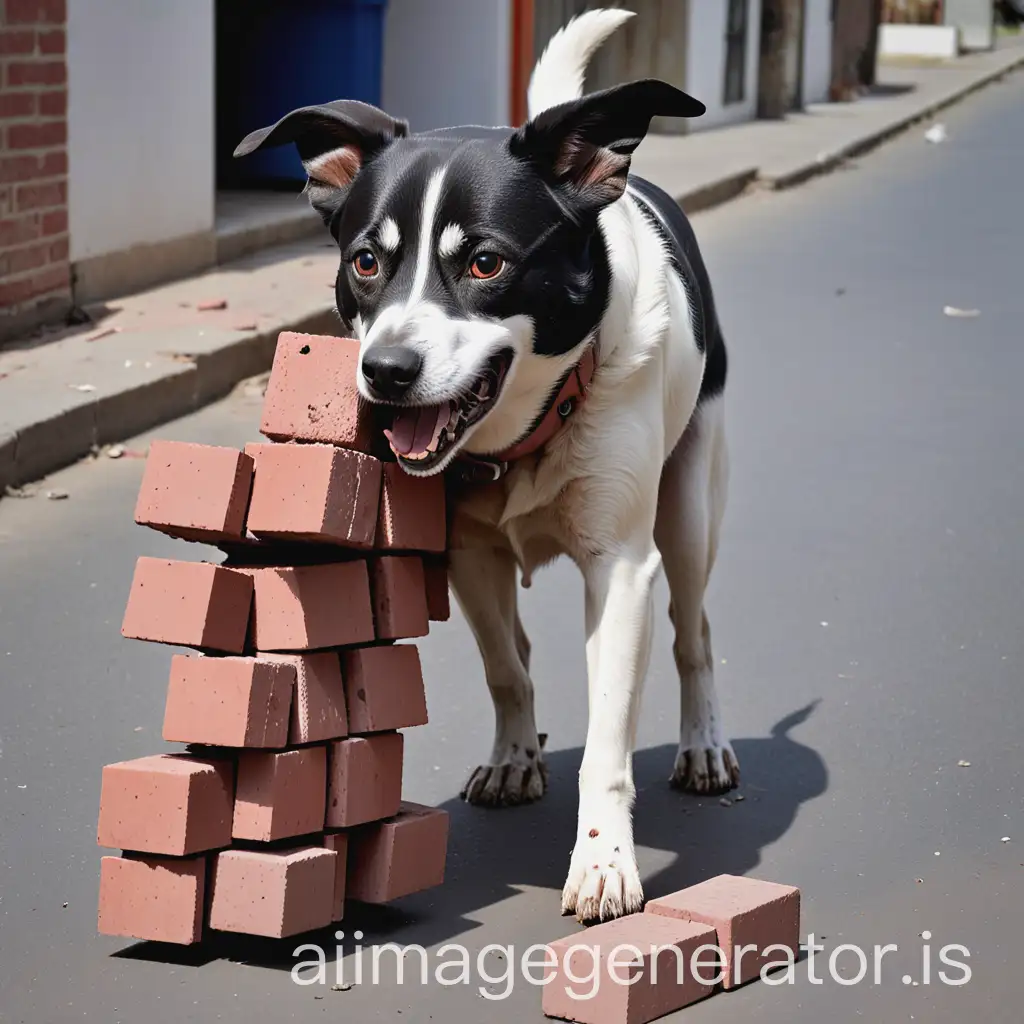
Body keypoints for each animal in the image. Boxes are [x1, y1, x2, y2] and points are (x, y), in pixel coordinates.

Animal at [235, 9, 741, 921]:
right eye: (367, 261)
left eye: (486, 263)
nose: (386, 372)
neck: (526, 434)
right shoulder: (467, 550)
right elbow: (505, 667)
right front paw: (515, 756)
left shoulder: (622, 569)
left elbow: (608, 738)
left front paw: (604, 859)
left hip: (689, 504)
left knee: (695, 629)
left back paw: (706, 741)